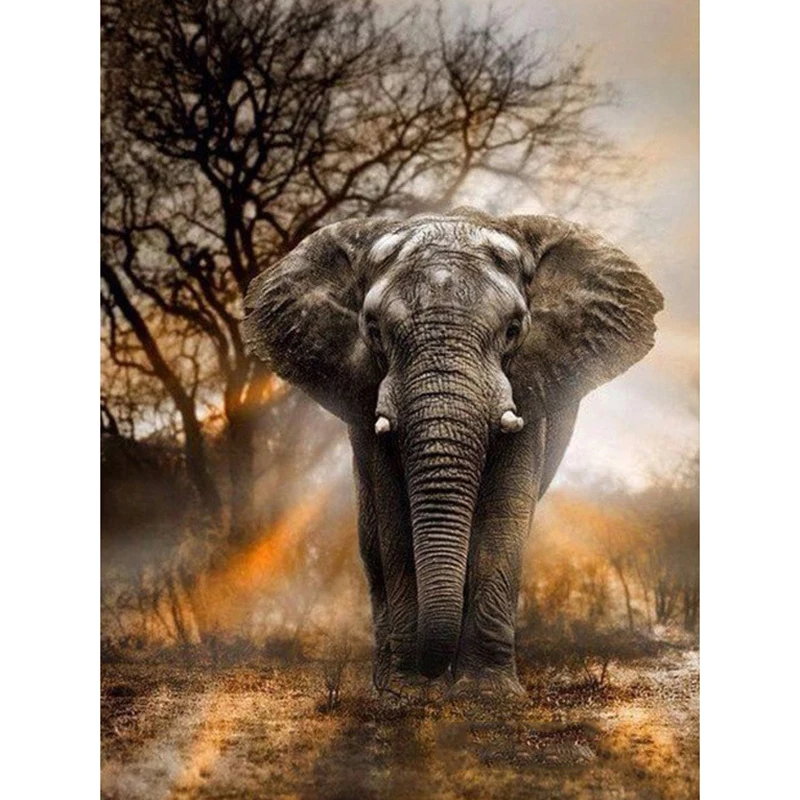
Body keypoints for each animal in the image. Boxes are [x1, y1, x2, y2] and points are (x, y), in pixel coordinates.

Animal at [242, 207, 663, 697]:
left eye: (513, 330)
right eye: (373, 330)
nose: (430, 672)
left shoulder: (528, 388)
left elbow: (503, 516)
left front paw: (488, 695)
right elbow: (395, 520)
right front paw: (407, 694)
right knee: (371, 542)